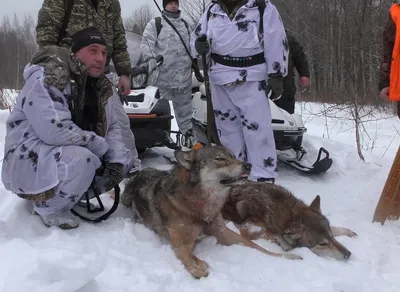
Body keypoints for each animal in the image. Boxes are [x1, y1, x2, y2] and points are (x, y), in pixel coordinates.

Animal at [122, 146, 304, 278]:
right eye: (219, 159)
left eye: (233, 156)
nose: (248, 165)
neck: (200, 207)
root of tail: (140, 172)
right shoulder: (180, 243)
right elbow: (189, 257)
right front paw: (199, 268)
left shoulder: (222, 231)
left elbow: (257, 246)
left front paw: (290, 256)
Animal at [222, 180, 356, 260]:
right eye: (322, 244)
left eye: (331, 236)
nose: (348, 254)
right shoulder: (249, 228)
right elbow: (272, 235)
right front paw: (285, 245)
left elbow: (337, 228)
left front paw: (349, 232)